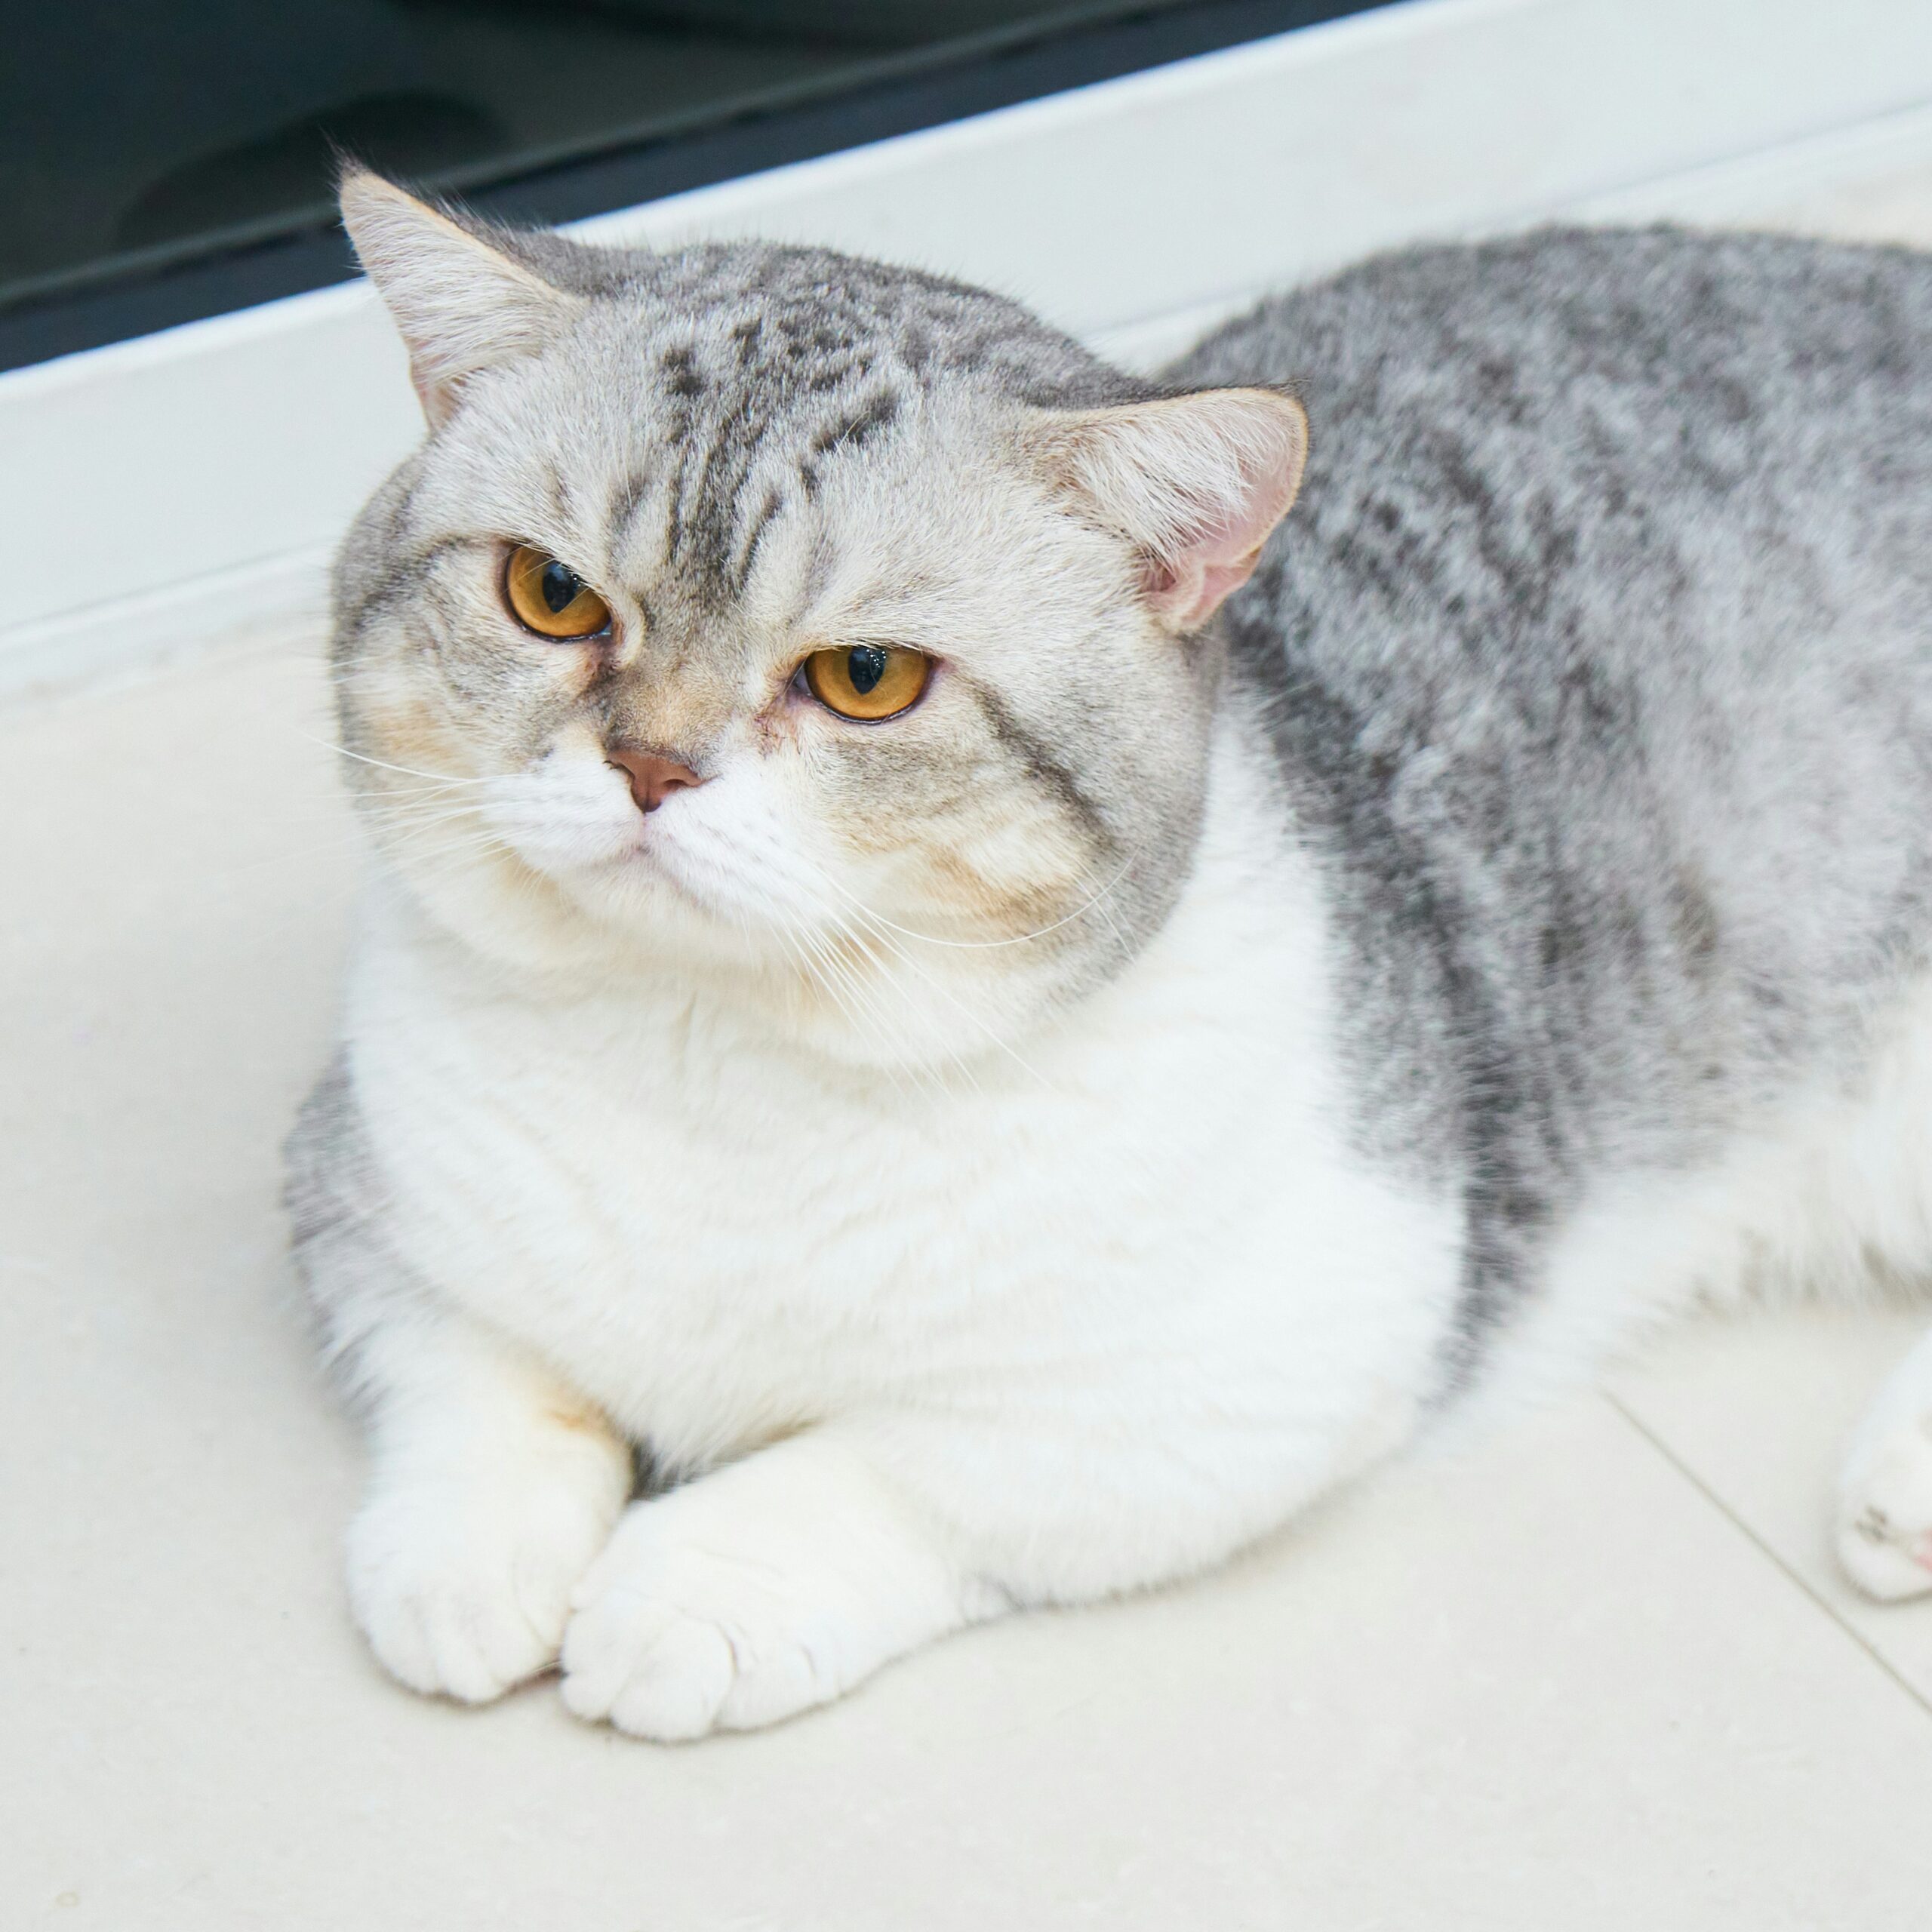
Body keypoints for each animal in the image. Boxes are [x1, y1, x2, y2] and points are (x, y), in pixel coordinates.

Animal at [281, 162, 1932, 1739]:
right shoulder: (355, 1193)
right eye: (549, 594)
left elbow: (906, 1464)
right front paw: (467, 1555)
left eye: (865, 677)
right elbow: (475, 1377)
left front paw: (694, 1584)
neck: (712, 1068)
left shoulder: (1280, 1344)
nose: (647, 764)